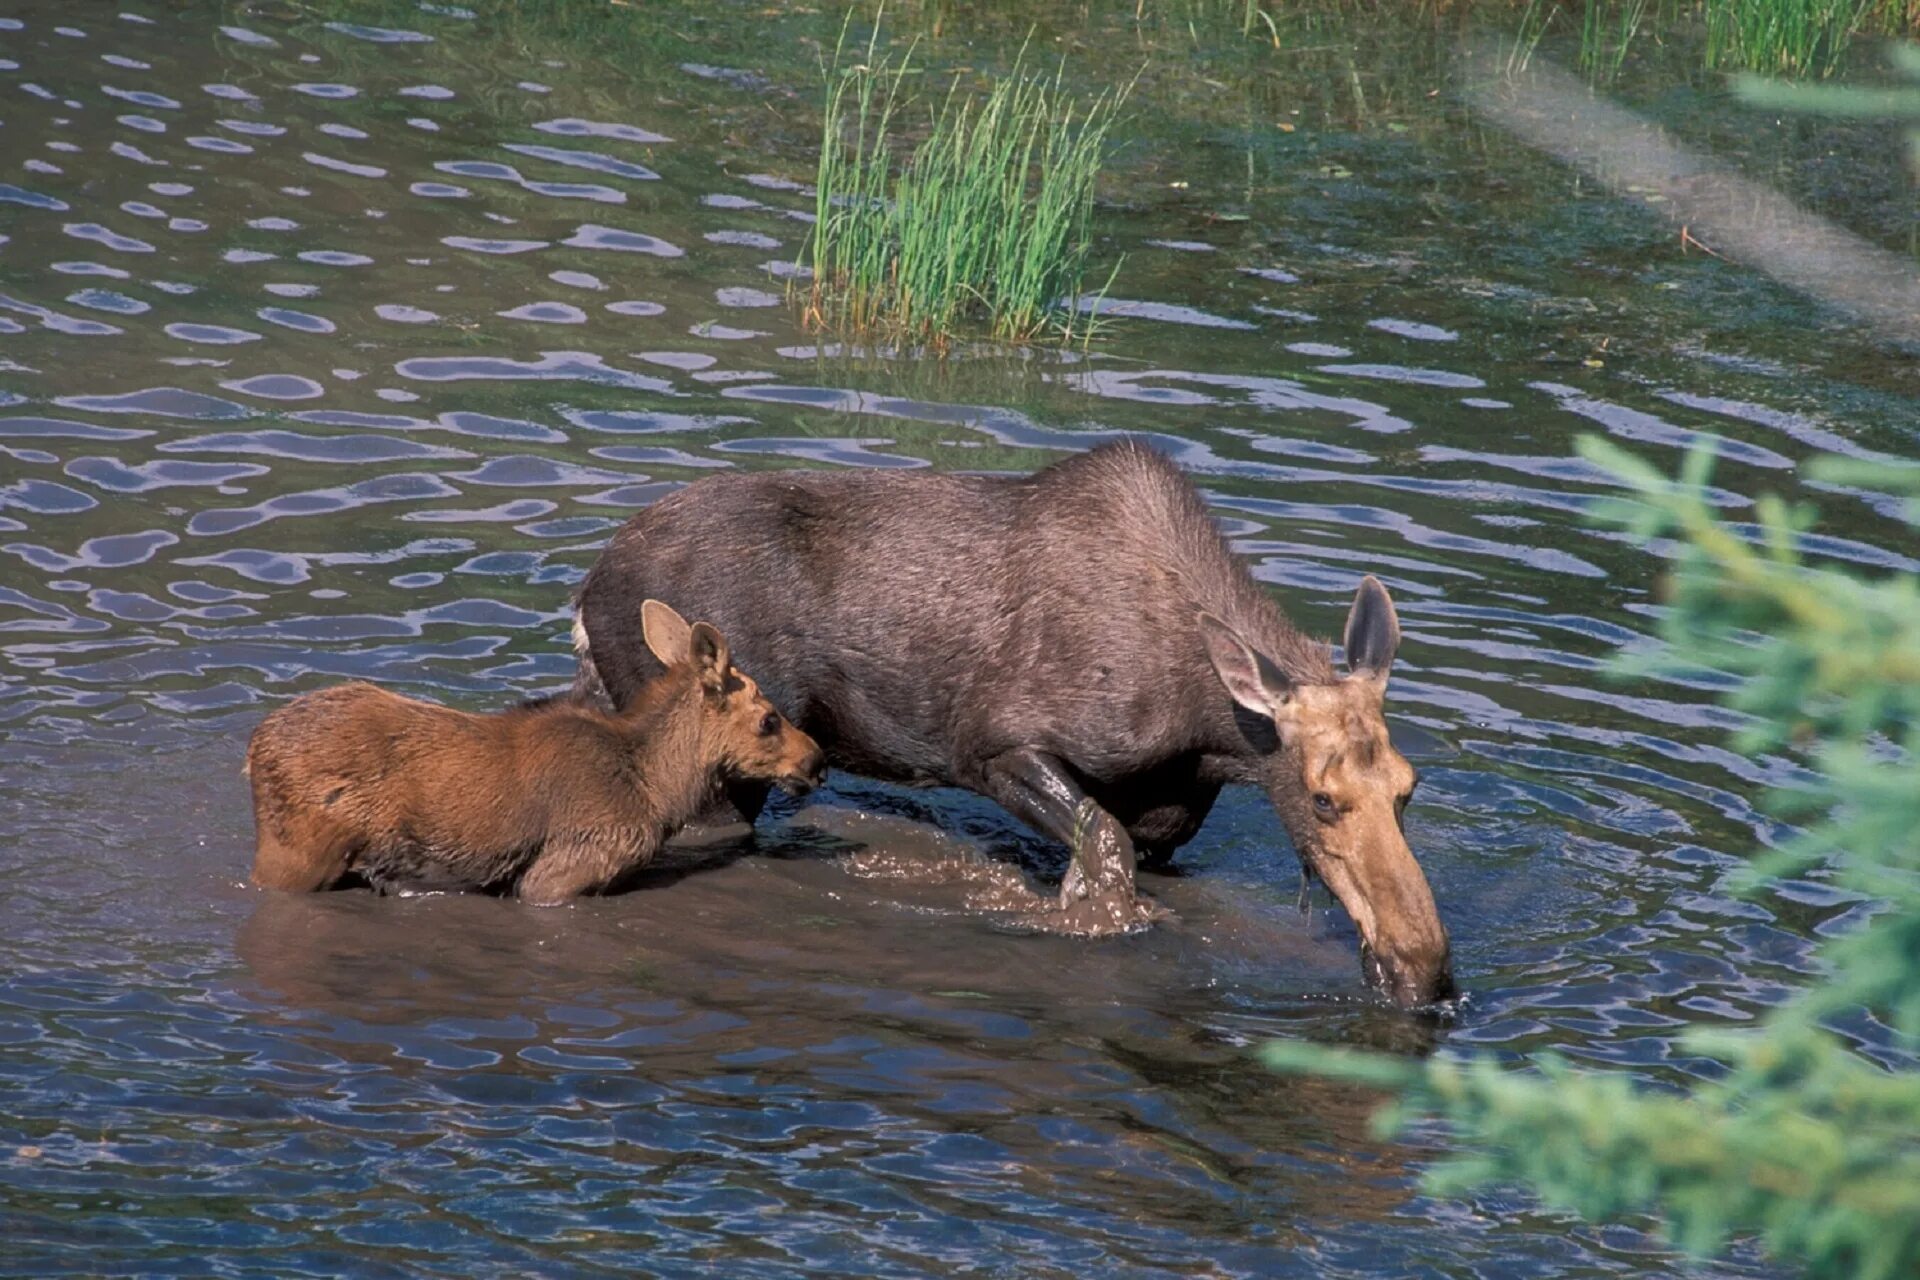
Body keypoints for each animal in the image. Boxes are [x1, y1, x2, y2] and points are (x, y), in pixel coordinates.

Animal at [247, 606, 825, 905]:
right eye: (769, 720)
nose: (816, 761)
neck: (658, 789)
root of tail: (254, 751)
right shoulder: (563, 870)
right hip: (294, 856)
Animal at [568, 445, 1451, 1005]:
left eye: (1408, 788)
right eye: (1323, 798)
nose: (1427, 968)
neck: (1208, 734)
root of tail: (586, 587)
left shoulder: (1168, 827)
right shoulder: (994, 745)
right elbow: (1102, 852)